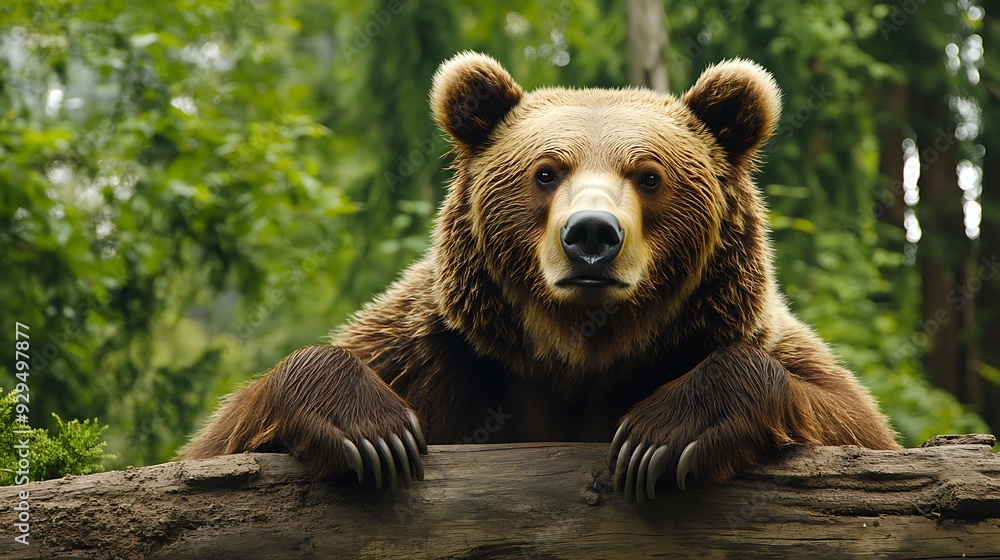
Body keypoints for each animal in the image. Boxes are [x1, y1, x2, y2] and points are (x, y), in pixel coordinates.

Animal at [183, 52, 900, 502]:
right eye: (547, 172)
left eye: (648, 175)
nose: (591, 237)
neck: (579, 354)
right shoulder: (439, 353)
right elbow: (212, 448)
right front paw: (371, 431)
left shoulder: (734, 333)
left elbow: (856, 428)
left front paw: (662, 435)